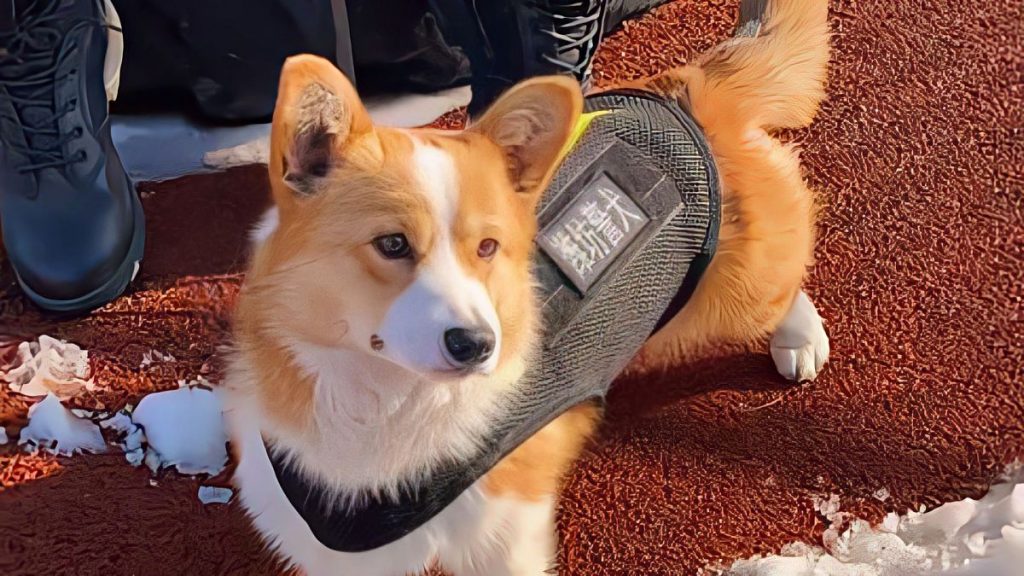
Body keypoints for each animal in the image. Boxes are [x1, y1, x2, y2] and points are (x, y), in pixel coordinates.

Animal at [224, 2, 831, 569]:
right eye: (392, 244)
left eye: (488, 247)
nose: (476, 346)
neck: (381, 402)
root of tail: (685, 89)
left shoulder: (504, 538)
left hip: (739, 291)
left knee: (783, 273)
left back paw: (799, 340)